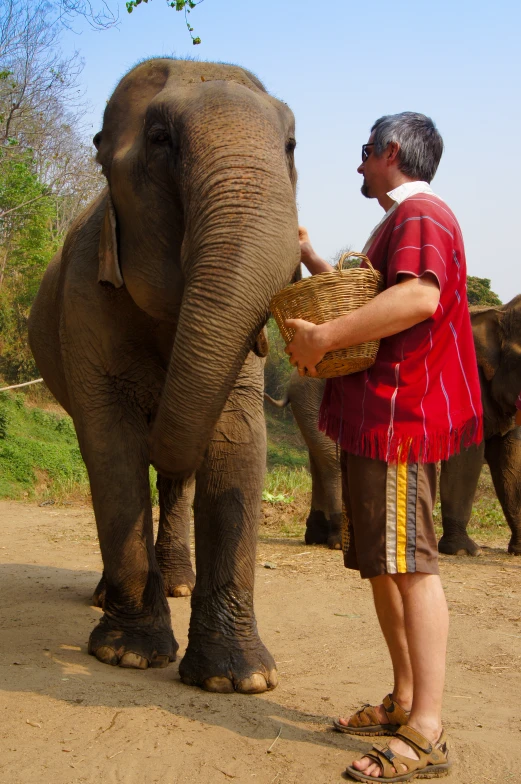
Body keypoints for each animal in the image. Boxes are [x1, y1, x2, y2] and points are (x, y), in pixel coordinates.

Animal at [26, 56, 298, 692]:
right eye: (159, 139)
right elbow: (111, 445)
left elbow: (237, 441)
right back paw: (109, 597)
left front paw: (239, 679)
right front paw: (128, 655)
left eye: (291, 146)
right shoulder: (86, 295)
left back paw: (174, 583)